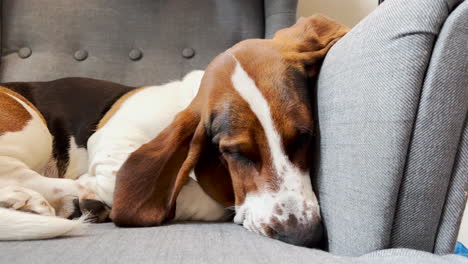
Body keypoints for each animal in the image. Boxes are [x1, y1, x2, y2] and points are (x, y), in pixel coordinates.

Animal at [0, 14, 346, 245]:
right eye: (234, 152)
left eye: (305, 137)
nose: (302, 235)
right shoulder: (111, 142)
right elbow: (203, 197)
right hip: (32, 125)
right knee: (20, 171)